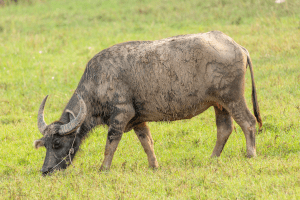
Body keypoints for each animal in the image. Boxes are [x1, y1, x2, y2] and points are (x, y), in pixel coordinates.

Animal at [34, 30, 262, 175]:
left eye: (57, 143)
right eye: (44, 145)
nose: (45, 170)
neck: (98, 82)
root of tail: (238, 47)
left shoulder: (121, 115)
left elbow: (111, 143)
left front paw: (103, 169)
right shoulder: (137, 120)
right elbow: (147, 143)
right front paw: (154, 166)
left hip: (233, 98)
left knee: (248, 123)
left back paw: (250, 154)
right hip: (219, 104)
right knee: (224, 129)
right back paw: (212, 158)